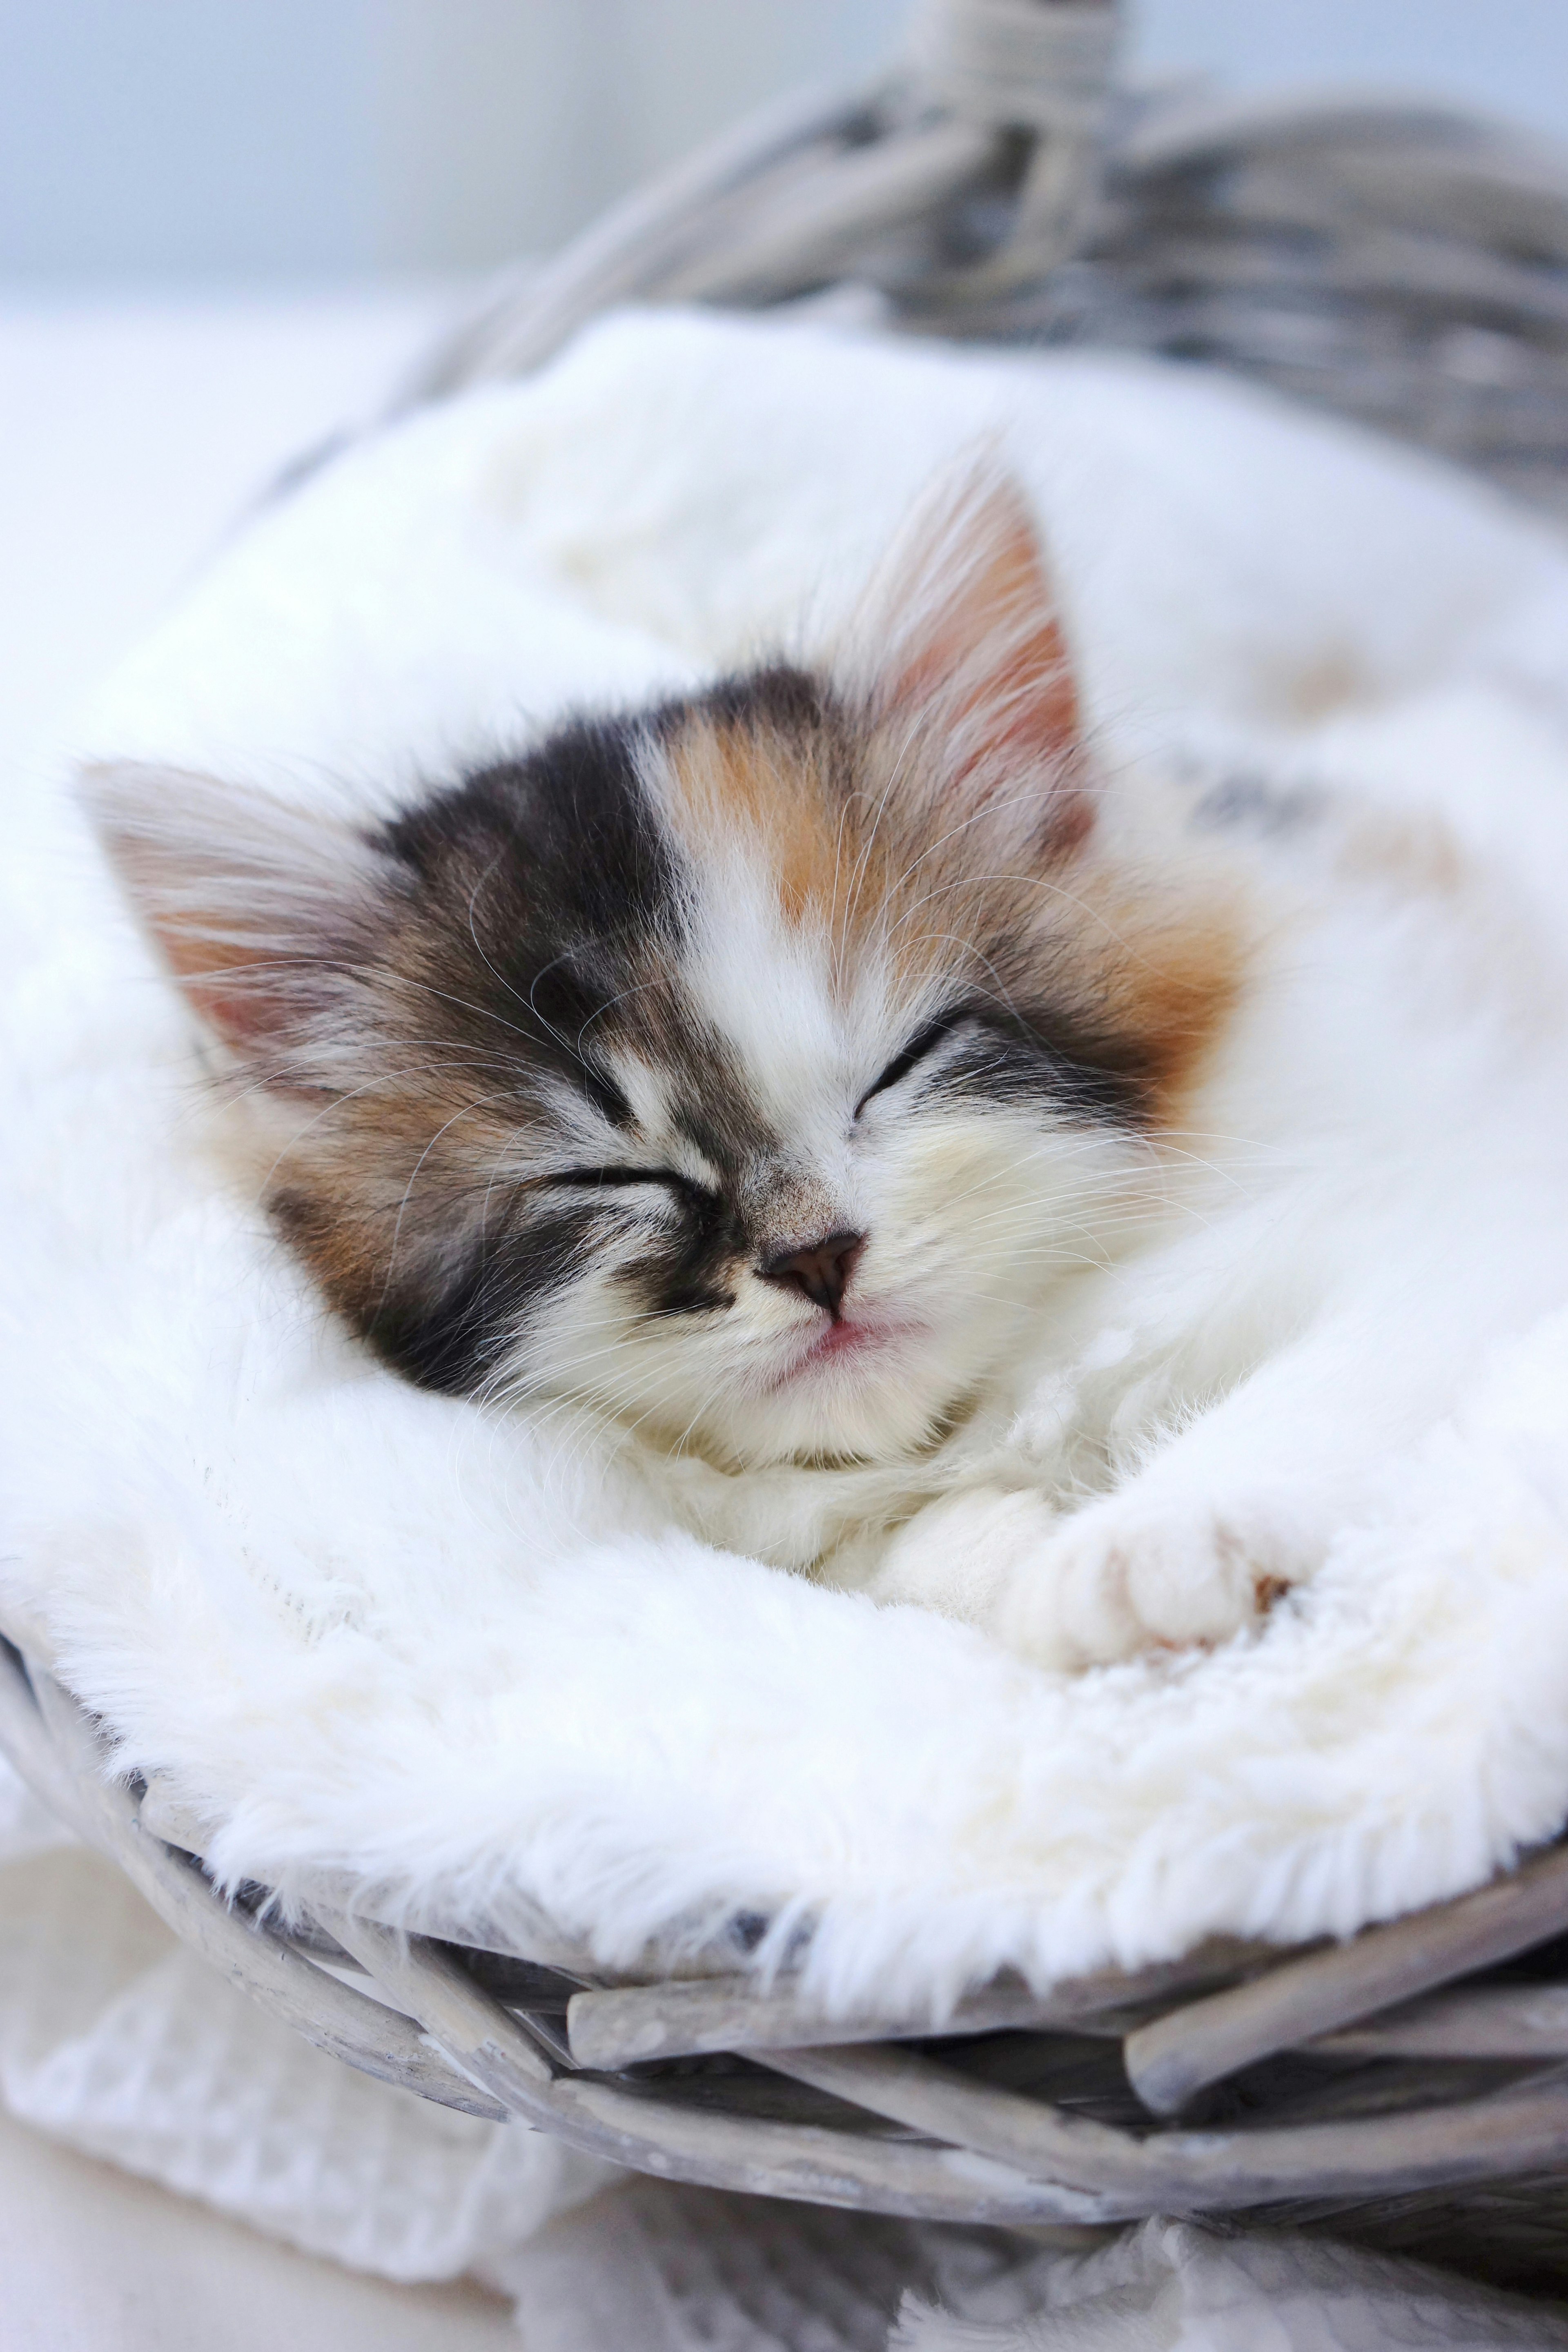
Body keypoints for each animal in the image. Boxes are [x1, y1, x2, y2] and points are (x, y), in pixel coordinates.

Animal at [82, 463, 1568, 1675]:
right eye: (614, 1174)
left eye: (898, 1066)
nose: (816, 1258)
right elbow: (897, 1556)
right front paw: (1013, 1551)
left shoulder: (1476, 1190)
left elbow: (1376, 1345)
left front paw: (1152, 1540)